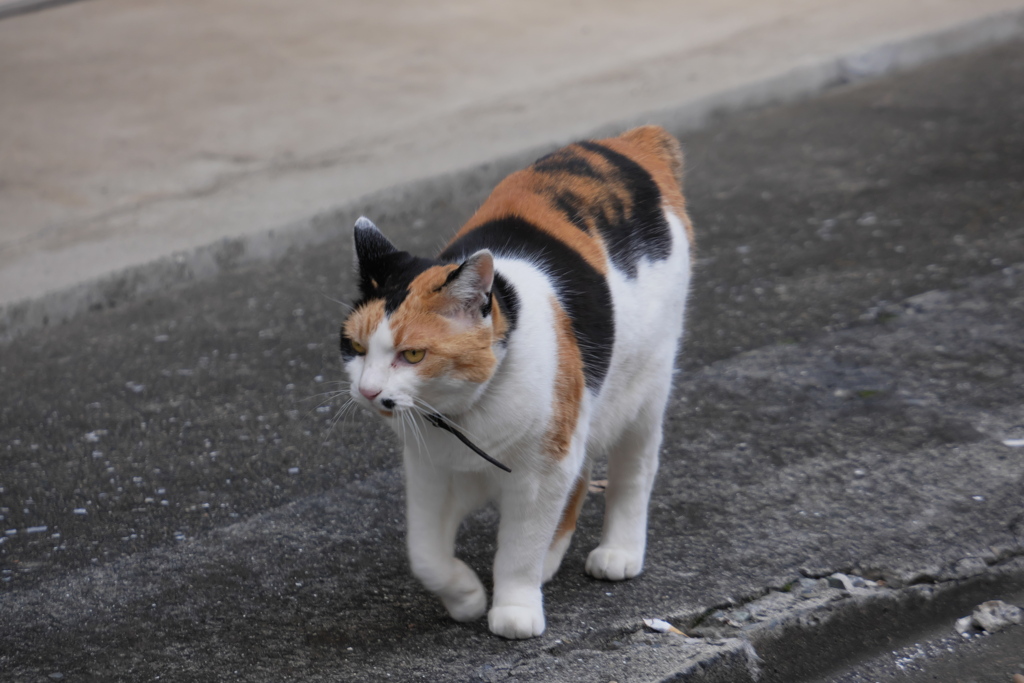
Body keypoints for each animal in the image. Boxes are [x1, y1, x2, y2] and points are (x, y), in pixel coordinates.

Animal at [339, 124, 692, 643]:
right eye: (357, 348)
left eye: (413, 355)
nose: (366, 391)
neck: (464, 416)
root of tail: (628, 142)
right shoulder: (429, 473)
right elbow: (424, 555)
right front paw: (466, 597)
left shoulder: (544, 470)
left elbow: (519, 549)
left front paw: (514, 609)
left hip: (642, 389)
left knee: (633, 470)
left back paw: (618, 553)